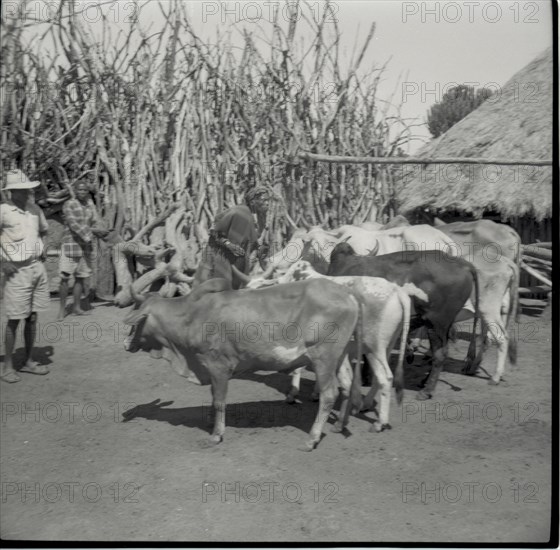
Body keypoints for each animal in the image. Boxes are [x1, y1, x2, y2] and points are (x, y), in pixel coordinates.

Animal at [123, 278, 364, 450]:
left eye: (136, 319)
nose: (125, 344)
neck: (192, 316)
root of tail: (347, 293)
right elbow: (214, 397)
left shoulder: (218, 366)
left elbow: (219, 401)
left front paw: (216, 435)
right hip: (340, 356)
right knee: (347, 385)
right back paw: (339, 425)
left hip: (323, 358)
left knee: (329, 394)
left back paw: (312, 439)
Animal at [247, 260, 426, 434]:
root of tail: (397, 290)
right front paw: (316, 393)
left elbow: (299, 368)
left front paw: (293, 394)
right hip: (385, 346)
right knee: (379, 377)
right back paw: (365, 405)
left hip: (373, 346)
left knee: (386, 377)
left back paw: (379, 423)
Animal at [328, 245, 482, 402]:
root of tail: (464, 264)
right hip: (442, 324)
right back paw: (424, 381)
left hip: (436, 323)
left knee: (440, 354)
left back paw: (426, 391)